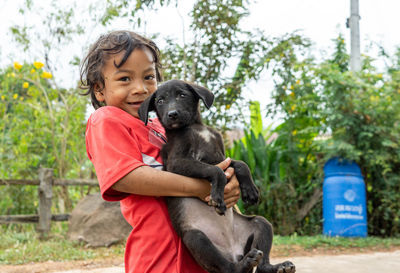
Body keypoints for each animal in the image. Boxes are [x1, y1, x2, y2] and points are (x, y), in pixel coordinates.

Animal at [139, 79, 296, 272]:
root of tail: (233, 252)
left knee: (262, 262)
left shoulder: (222, 156)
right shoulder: (177, 162)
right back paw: (244, 264)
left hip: (261, 224)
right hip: (196, 238)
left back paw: (278, 266)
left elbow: (241, 164)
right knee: (228, 268)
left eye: (182, 95)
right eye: (160, 101)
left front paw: (250, 191)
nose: (172, 114)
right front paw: (217, 198)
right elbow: (217, 171)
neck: (195, 127)